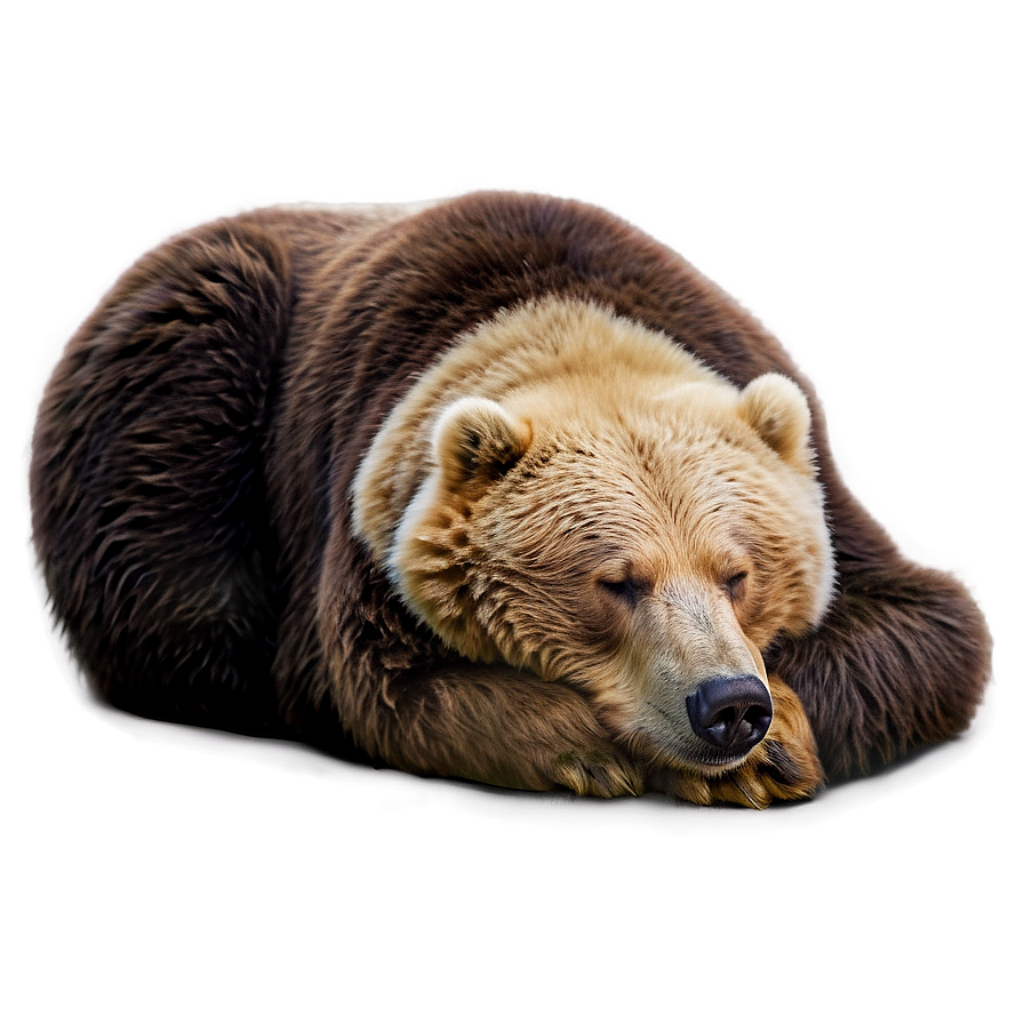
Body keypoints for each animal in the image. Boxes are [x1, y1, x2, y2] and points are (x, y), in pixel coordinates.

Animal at [25, 187, 994, 809]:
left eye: (739, 573)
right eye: (617, 581)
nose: (729, 706)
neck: (565, 327)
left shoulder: (811, 462)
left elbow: (924, 629)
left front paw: (780, 738)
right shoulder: (364, 496)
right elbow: (384, 685)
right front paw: (621, 755)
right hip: (186, 377)